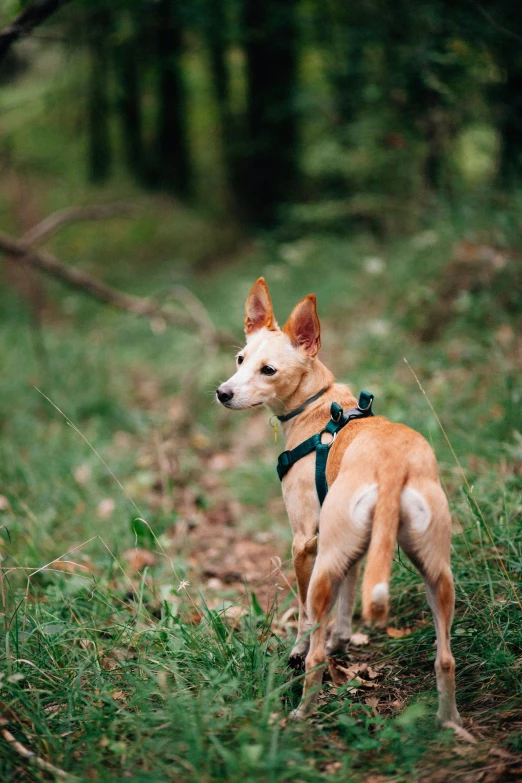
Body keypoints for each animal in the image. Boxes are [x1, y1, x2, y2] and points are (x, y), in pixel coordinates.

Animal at [215, 278, 460, 724]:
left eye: (268, 370)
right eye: (240, 359)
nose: (223, 393)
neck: (317, 404)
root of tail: (393, 465)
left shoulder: (306, 543)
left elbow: (306, 619)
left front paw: (300, 650)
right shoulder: (352, 550)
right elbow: (345, 611)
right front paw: (341, 642)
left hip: (325, 566)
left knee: (314, 651)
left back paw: (301, 712)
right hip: (436, 573)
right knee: (445, 659)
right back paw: (449, 724)